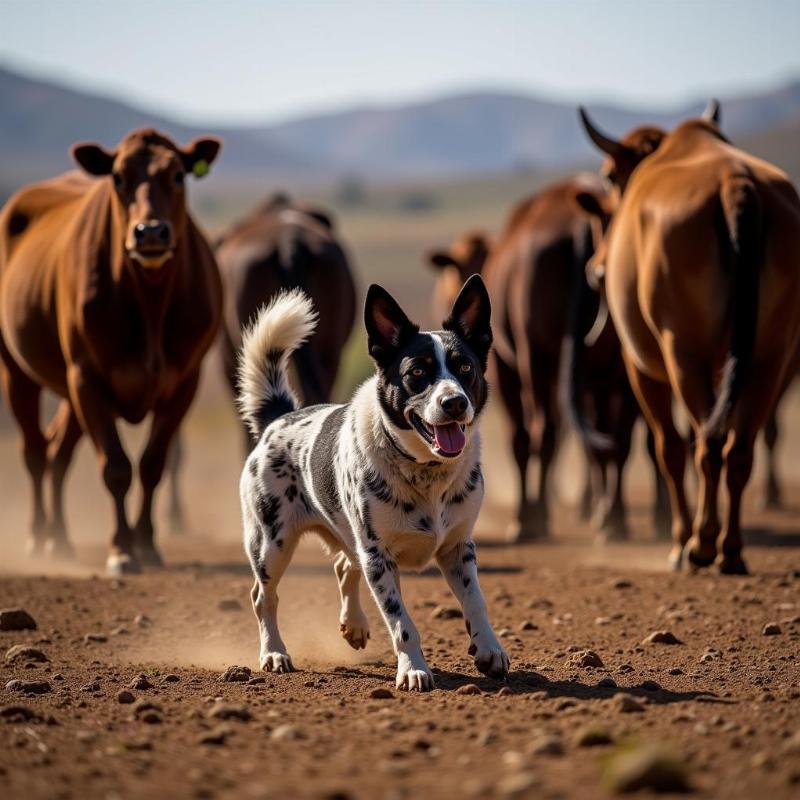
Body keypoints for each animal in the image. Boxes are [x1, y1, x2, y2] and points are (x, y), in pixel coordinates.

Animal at [0, 128, 222, 572]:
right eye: (118, 178)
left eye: (177, 175)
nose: (150, 232)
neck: (150, 302)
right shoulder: (88, 376)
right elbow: (116, 466)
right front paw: (121, 548)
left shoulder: (184, 382)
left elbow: (153, 464)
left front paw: (148, 544)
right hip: (18, 370)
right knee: (35, 451)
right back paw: (37, 537)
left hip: (69, 393)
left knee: (58, 452)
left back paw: (60, 539)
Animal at [236, 276, 506, 688]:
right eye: (417, 373)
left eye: (465, 367)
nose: (455, 402)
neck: (426, 472)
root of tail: (278, 418)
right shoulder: (378, 558)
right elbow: (402, 624)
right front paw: (413, 669)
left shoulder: (458, 548)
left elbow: (476, 602)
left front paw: (490, 649)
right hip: (271, 543)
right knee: (263, 596)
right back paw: (274, 653)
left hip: (345, 537)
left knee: (343, 565)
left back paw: (354, 625)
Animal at [576, 111, 800, 576]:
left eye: (610, 176)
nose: (596, 269)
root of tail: (736, 183)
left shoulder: (641, 368)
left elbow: (669, 448)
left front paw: (681, 540)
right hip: (768, 358)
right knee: (738, 449)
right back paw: (730, 548)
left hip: (684, 356)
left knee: (706, 444)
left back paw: (700, 545)